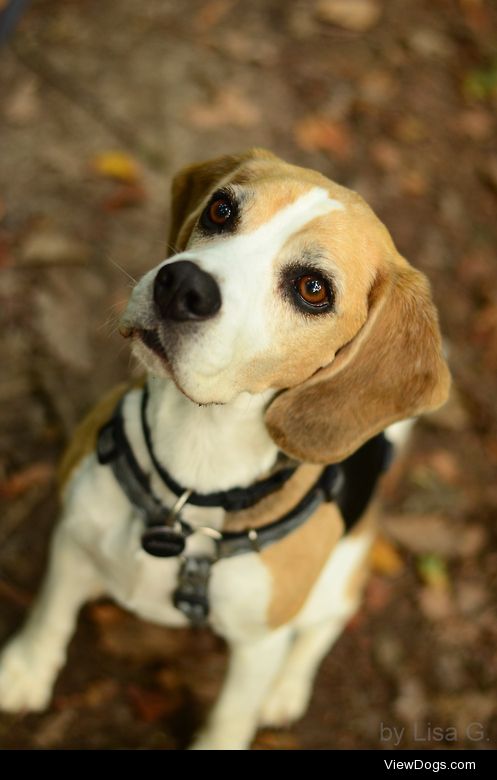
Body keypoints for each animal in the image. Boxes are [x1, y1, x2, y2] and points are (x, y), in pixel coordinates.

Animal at [0, 148, 450, 748]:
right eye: (221, 209)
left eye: (313, 289)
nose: (180, 285)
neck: (191, 480)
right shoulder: (73, 536)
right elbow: (50, 613)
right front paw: (25, 670)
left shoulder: (259, 643)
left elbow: (233, 712)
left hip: (340, 579)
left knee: (321, 630)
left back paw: (286, 690)